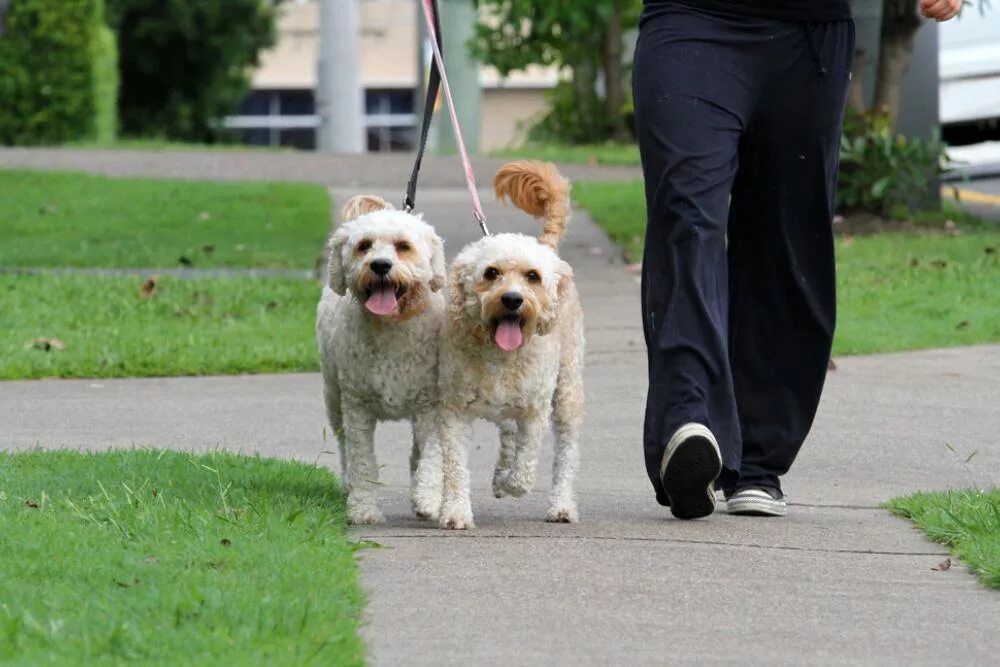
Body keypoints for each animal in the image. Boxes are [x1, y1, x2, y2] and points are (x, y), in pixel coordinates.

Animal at [316, 196, 446, 524]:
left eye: (403, 246)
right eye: (364, 246)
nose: (380, 265)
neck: (392, 325)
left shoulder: (432, 404)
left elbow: (432, 454)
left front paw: (429, 497)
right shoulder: (357, 405)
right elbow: (362, 460)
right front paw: (363, 508)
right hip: (333, 397)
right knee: (343, 445)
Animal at [438, 162, 584, 532]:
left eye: (532, 276)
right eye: (491, 273)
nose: (512, 300)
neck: (500, 356)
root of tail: (548, 248)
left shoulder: (534, 411)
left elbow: (525, 467)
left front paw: (510, 482)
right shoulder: (454, 411)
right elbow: (456, 467)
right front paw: (456, 511)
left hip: (568, 391)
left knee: (566, 453)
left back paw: (561, 505)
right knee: (506, 432)